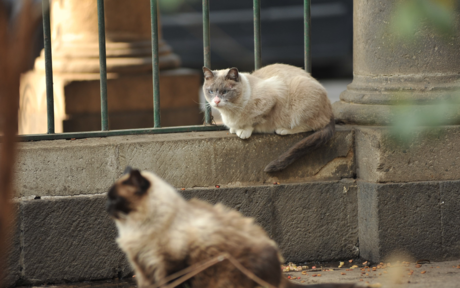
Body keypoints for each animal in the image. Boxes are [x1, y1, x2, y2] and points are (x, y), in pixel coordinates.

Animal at [107, 169, 356, 288]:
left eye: (115, 199)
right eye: (109, 197)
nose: (107, 206)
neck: (135, 228)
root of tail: (278, 272)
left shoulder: (169, 266)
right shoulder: (144, 268)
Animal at [201, 63, 334, 172]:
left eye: (225, 92)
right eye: (211, 92)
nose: (216, 101)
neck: (230, 111)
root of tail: (330, 109)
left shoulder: (272, 98)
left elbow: (253, 121)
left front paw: (243, 131)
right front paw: (234, 129)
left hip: (300, 93)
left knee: (312, 126)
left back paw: (283, 130)